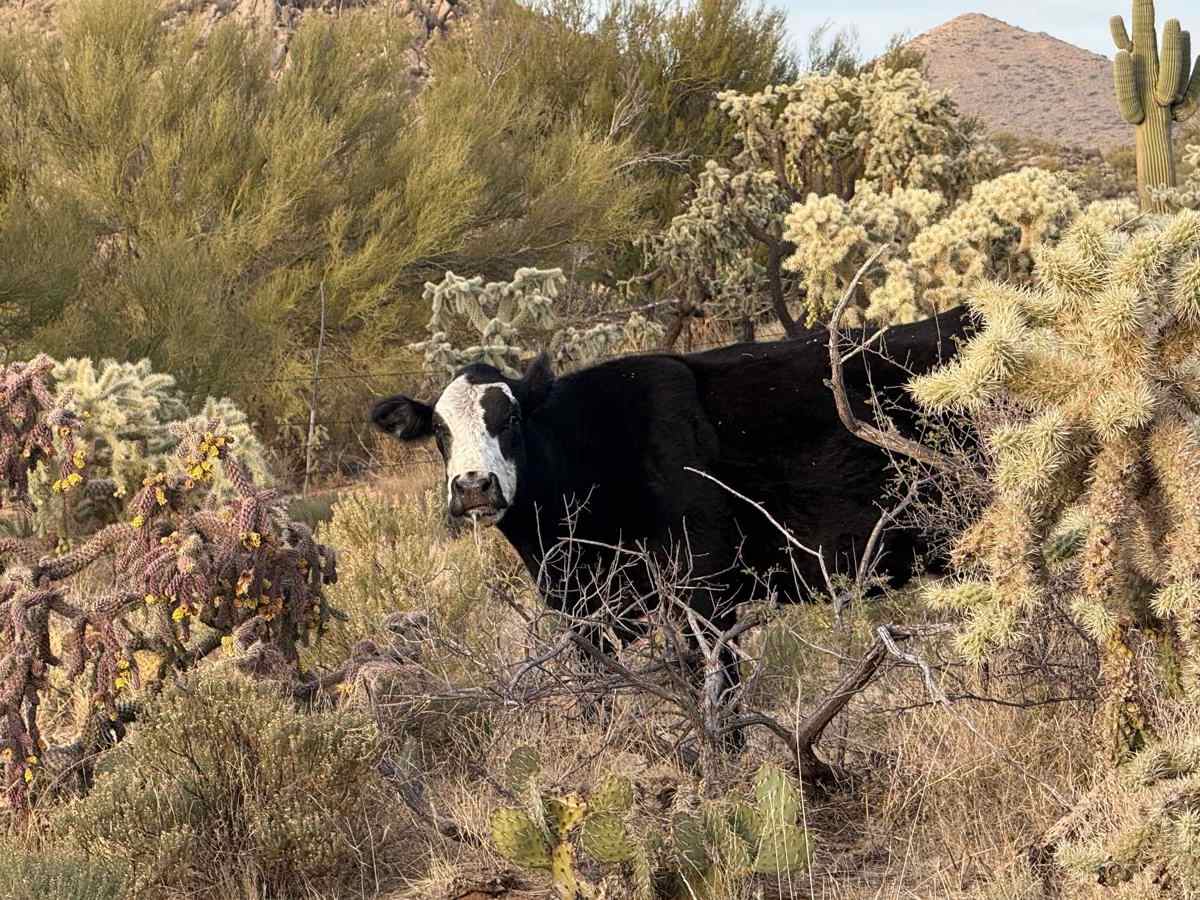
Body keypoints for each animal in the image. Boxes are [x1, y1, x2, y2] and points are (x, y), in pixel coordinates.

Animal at [370, 307, 969, 735]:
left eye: (511, 418)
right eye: (440, 431)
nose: (473, 486)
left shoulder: (704, 592)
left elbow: (719, 706)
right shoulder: (582, 615)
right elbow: (595, 703)